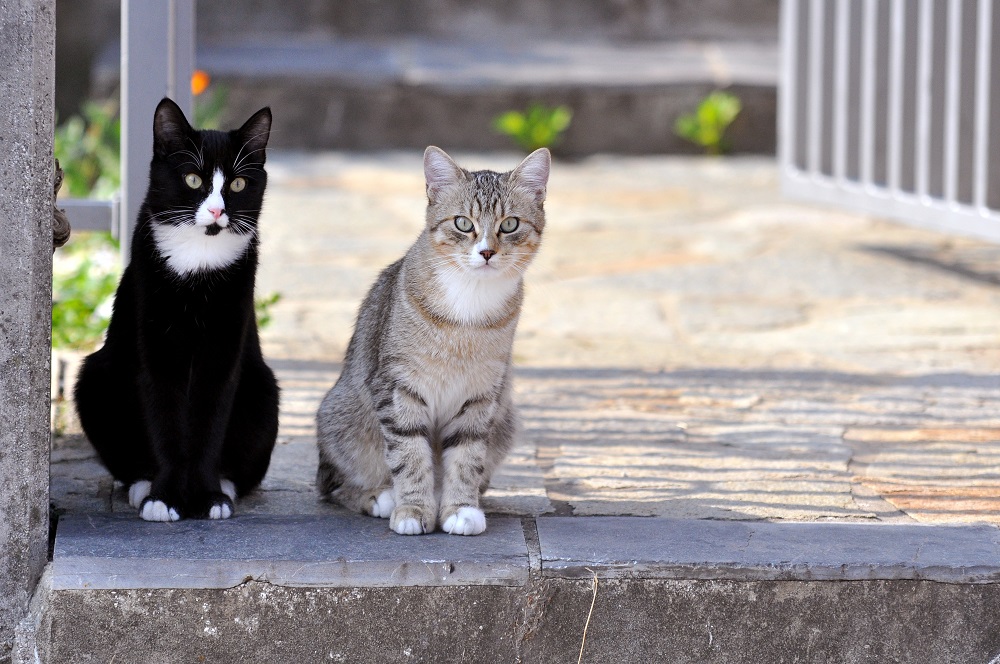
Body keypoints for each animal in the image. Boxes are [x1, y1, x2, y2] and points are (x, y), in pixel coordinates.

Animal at [74, 100, 280, 524]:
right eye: (192, 179)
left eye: (237, 184)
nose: (216, 211)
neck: (197, 261)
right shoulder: (154, 344)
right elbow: (164, 417)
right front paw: (164, 498)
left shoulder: (224, 346)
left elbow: (209, 416)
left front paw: (207, 496)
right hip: (96, 381)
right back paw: (142, 485)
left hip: (263, 388)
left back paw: (225, 485)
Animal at [314, 145, 552, 536]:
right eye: (463, 223)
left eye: (510, 224)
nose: (487, 252)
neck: (469, 302)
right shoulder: (397, 388)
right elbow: (410, 454)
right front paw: (412, 509)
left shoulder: (482, 394)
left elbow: (467, 456)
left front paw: (460, 509)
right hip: (341, 416)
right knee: (331, 485)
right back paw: (378, 496)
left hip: (505, 420)